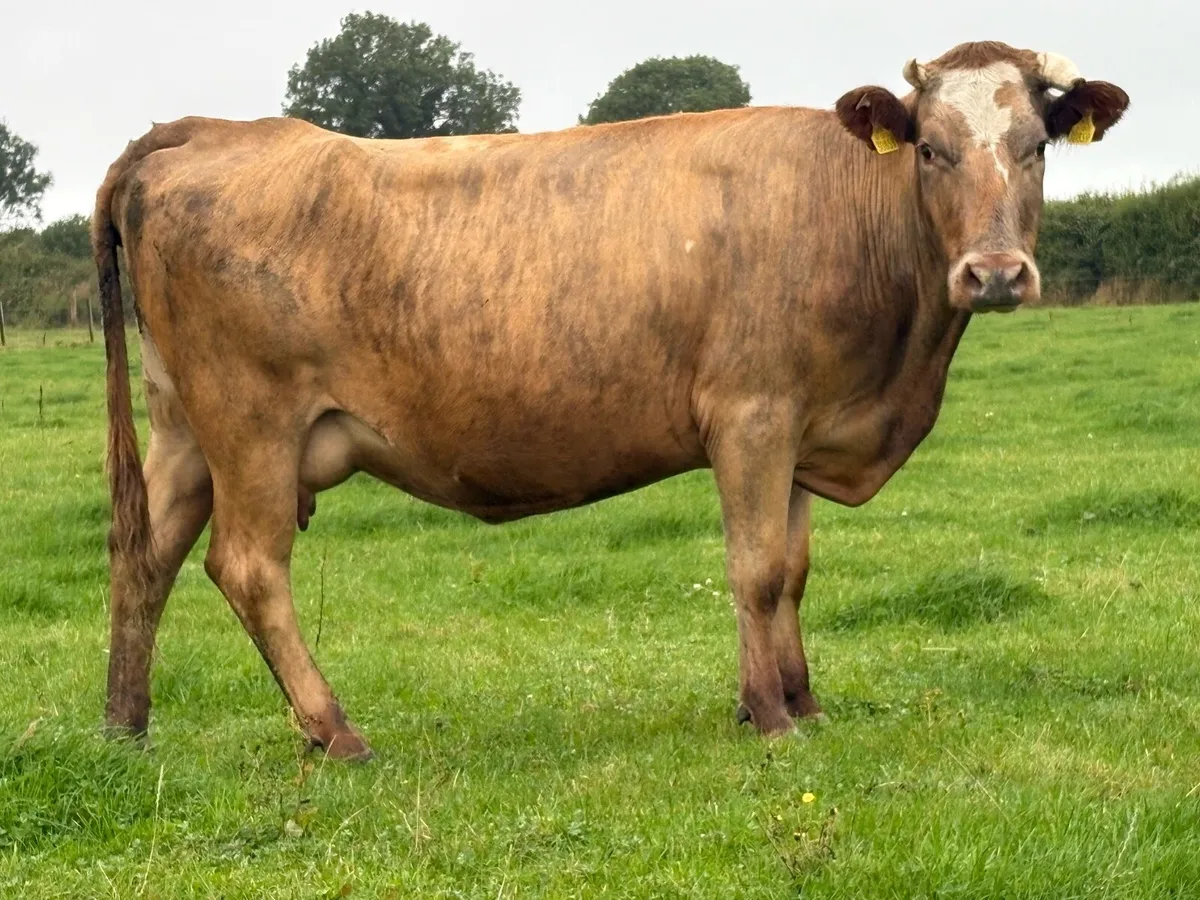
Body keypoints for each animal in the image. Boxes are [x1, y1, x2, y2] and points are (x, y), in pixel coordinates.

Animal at [92, 41, 1128, 760]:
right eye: (933, 151)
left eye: (1035, 148)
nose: (995, 273)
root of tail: (208, 129)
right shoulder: (752, 416)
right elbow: (754, 569)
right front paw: (770, 718)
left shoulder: (804, 426)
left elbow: (792, 571)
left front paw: (800, 700)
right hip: (252, 427)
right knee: (248, 566)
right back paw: (334, 731)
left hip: (185, 429)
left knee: (144, 558)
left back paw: (125, 730)